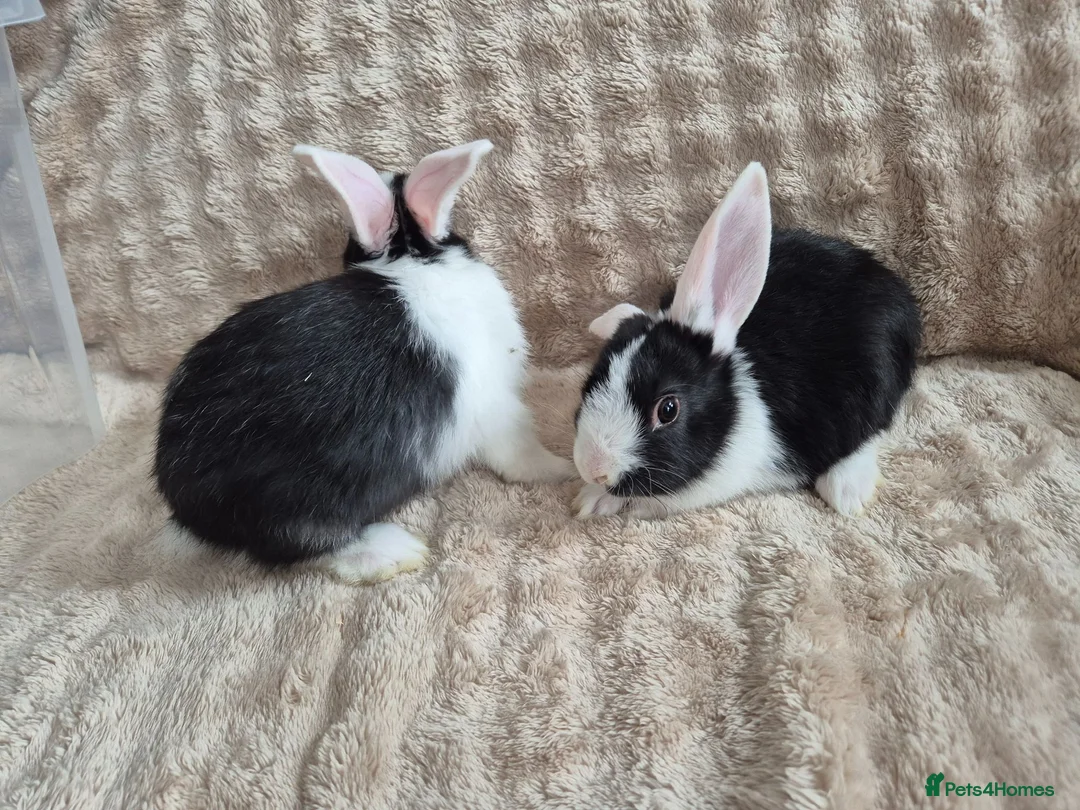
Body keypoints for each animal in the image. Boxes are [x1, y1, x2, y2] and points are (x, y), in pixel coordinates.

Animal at [153, 139, 575, 583]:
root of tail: (187, 508)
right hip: (300, 503)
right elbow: (521, 455)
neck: (413, 262)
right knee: (301, 546)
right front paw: (560, 469)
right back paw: (392, 552)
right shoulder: (496, 408)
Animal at [572, 162, 921, 521]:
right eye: (588, 386)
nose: (595, 469)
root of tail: (888, 281)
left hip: (879, 373)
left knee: (874, 426)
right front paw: (591, 499)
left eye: (668, 409)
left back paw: (848, 490)